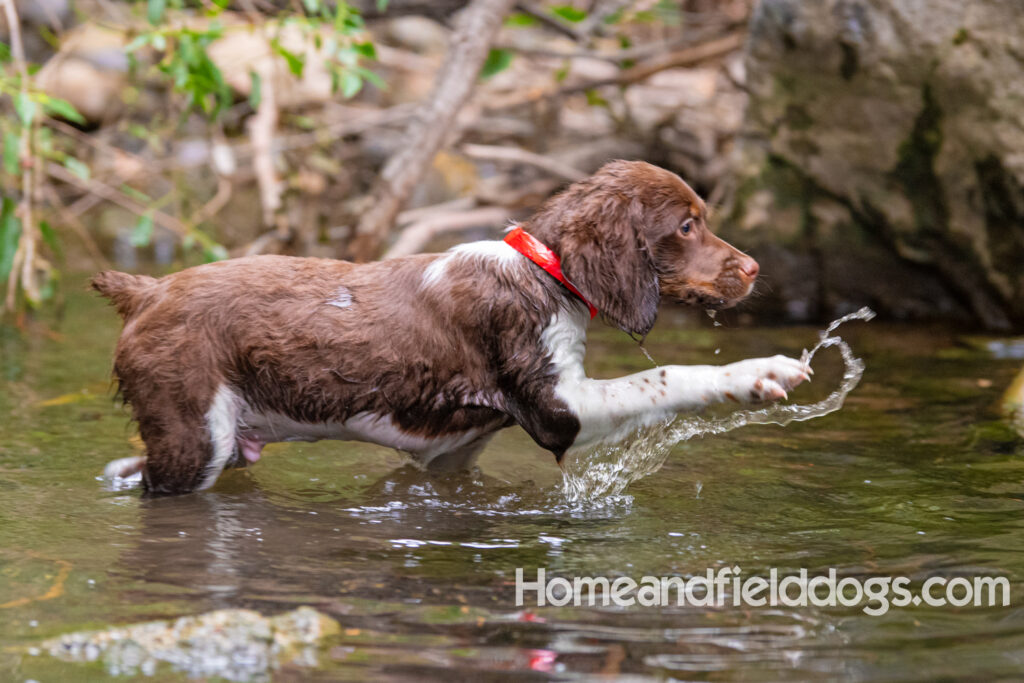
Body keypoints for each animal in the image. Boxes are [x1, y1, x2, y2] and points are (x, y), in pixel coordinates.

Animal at [96, 162, 811, 493]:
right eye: (687, 226)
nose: (754, 269)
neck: (544, 272)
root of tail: (146, 290)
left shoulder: (451, 455)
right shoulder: (558, 410)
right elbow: (666, 374)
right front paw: (759, 374)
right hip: (194, 437)